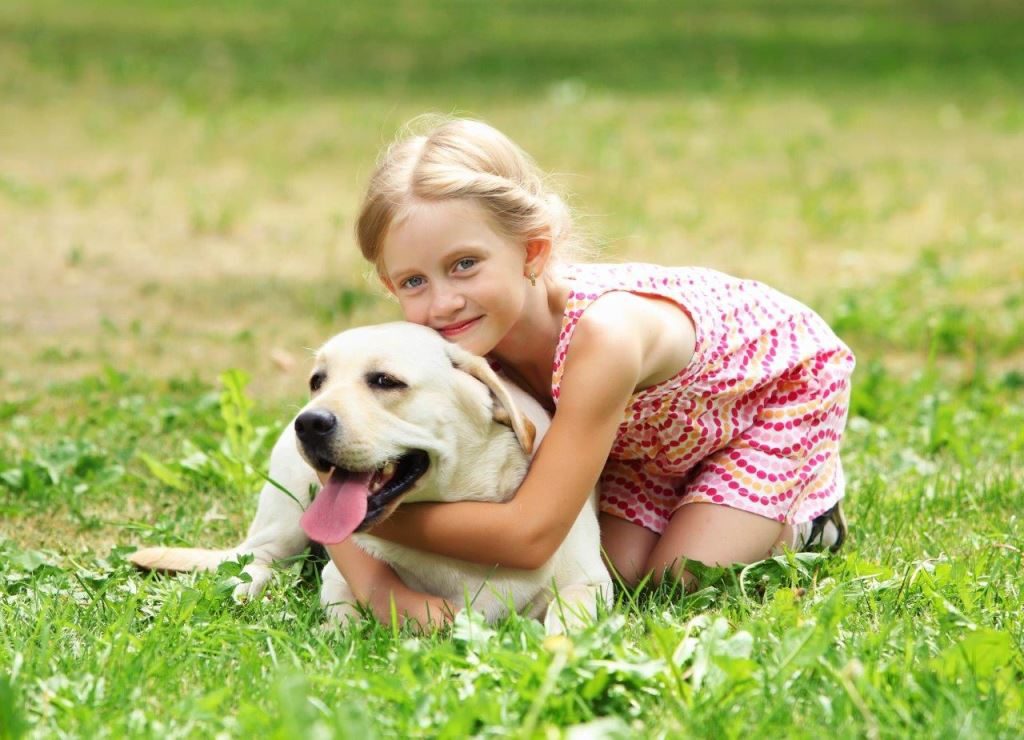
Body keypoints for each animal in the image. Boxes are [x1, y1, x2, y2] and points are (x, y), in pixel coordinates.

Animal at [126, 321, 606, 634]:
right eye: (317, 380)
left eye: (385, 380)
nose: (308, 422)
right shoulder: (339, 577)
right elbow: (346, 616)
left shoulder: (591, 583)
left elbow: (568, 617)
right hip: (283, 520)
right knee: (255, 561)